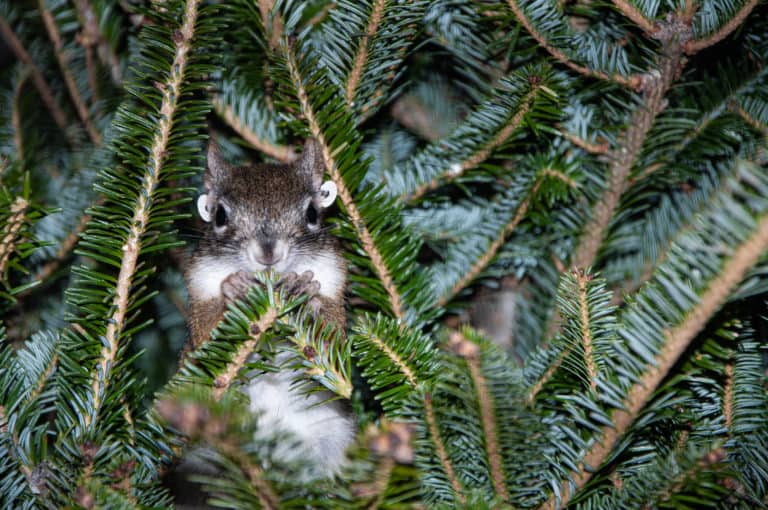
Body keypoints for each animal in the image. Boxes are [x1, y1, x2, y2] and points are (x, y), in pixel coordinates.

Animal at [184, 137, 356, 476]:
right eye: (219, 216)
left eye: (312, 213)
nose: (268, 252)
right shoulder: (200, 287)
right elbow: (207, 338)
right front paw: (233, 291)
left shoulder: (334, 281)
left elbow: (332, 339)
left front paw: (307, 294)